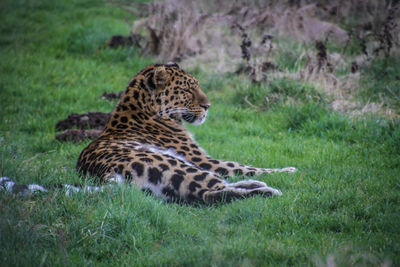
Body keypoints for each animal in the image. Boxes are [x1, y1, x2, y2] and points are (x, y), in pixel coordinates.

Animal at [74, 63, 296, 205]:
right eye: (188, 90)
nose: (208, 106)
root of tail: (102, 174)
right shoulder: (204, 159)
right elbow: (246, 167)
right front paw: (289, 171)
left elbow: (244, 167)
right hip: (174, 163)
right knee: (210, 192)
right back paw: (267, 190)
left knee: (212, 189)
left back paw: (256, 186)